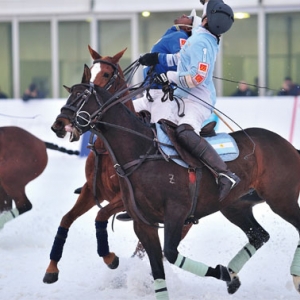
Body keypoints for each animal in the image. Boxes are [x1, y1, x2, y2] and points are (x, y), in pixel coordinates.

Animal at [52, 64, 300, 298]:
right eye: (69, 94)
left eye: (83, 96)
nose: (59, 124)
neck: (141, 153)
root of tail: (290, 147)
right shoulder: (143, 224)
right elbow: (157, 269)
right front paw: (226, 275)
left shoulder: (176, 214)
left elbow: (170, 253)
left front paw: (221, 272)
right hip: (236, 206)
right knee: (259, 235)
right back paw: (234, 275)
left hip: (282, 200)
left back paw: (292, 277)